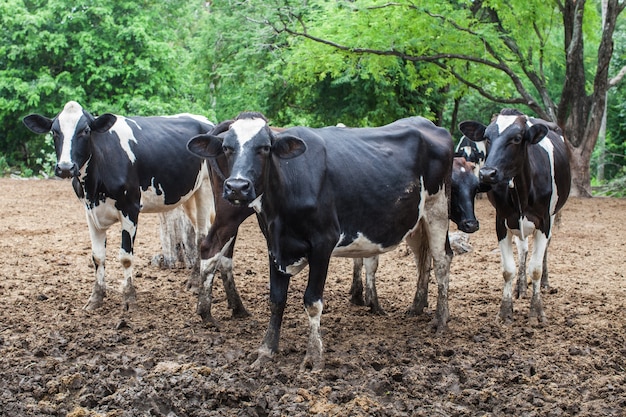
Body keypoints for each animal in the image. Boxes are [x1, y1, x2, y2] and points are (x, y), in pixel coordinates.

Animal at [22, 100, 216, 308]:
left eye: (85, 130)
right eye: (54, 132)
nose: (65, 167)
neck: (93, 186)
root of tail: (206, 122)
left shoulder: (130, 208)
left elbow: (125, 257)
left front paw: (129, 298)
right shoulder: (90, 212)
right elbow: (97, 256)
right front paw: (95, 298)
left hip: (205, 188)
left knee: (201, 235)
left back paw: (195, 282)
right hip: (188, 194)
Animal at [456, 109, 568, 324]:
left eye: (517, 138)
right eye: (487, 137)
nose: (487, 173)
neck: (521, 189)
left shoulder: (544, 221)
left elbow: (536, 268)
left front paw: (536, 312)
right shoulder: (502, 220)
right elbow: (508, 270)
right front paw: (505, 311)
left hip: (552, 214)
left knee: (545, 249)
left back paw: (544, 283)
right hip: (517, 222)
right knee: (523, 249)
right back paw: (521, 287)